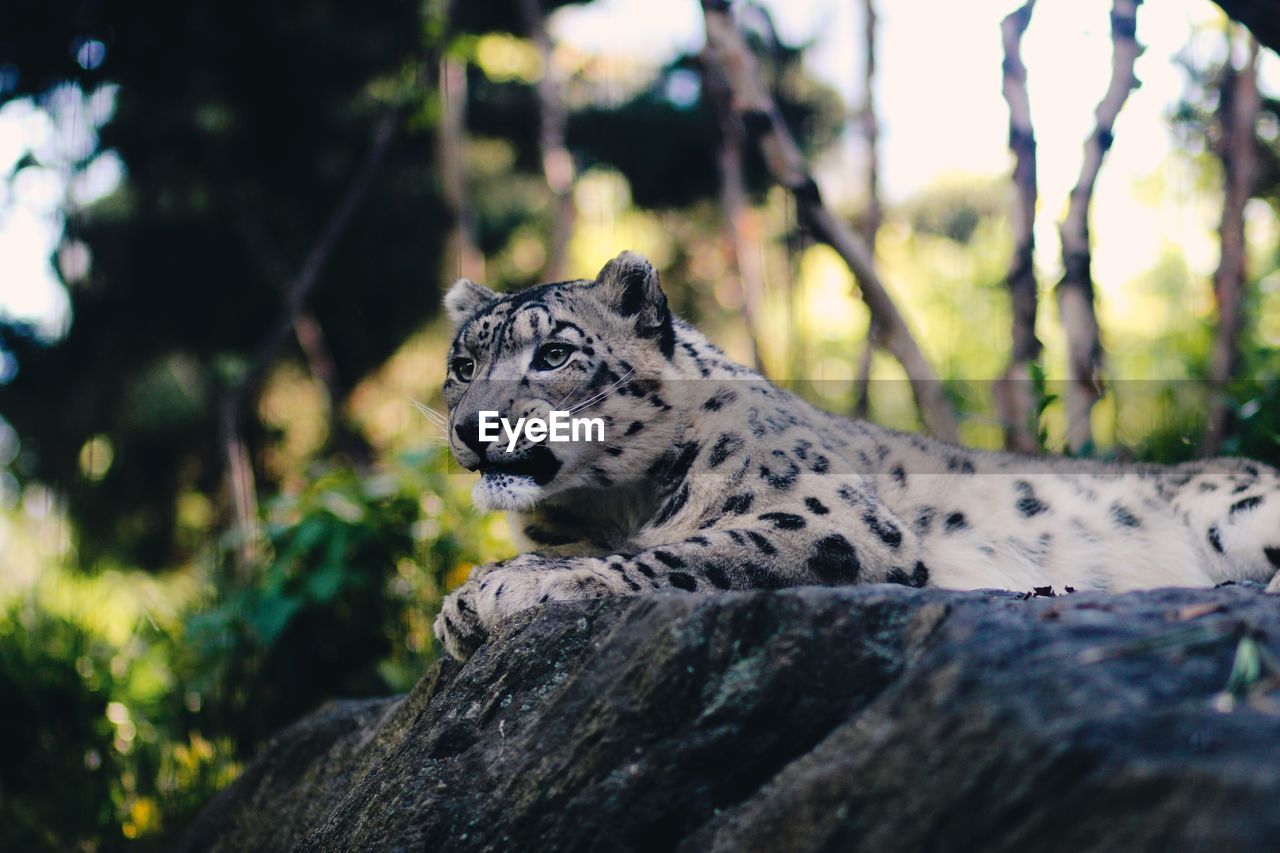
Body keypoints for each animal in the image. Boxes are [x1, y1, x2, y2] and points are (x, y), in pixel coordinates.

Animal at [432, 247, 1280, 655]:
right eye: (463, 363)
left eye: (554, 354)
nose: (472, 425)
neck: (612, 500)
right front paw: (464, 603)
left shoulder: (824, 514)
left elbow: (684, 551)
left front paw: (506, 588)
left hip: (1239, 507)